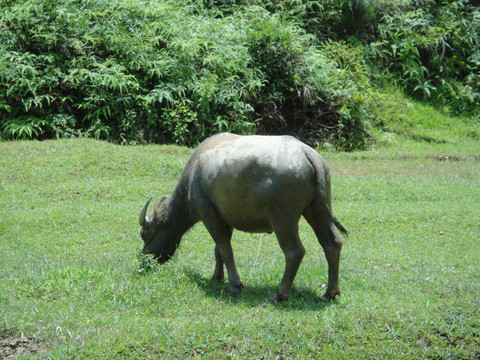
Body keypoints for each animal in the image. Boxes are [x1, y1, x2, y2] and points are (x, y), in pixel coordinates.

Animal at [138, 132, 344, 300]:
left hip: (284, 218)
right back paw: (329, 293)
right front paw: (216, 277)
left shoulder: (208, 214)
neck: (192, 178)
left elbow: (225, 249)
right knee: (332, 243)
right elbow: (218, 250)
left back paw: (280, 294)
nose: (143, 259)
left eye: (144, 235)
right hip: (317, 208)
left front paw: (234, 286)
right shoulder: (224, 218)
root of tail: (306, 152)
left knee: (295, 251)